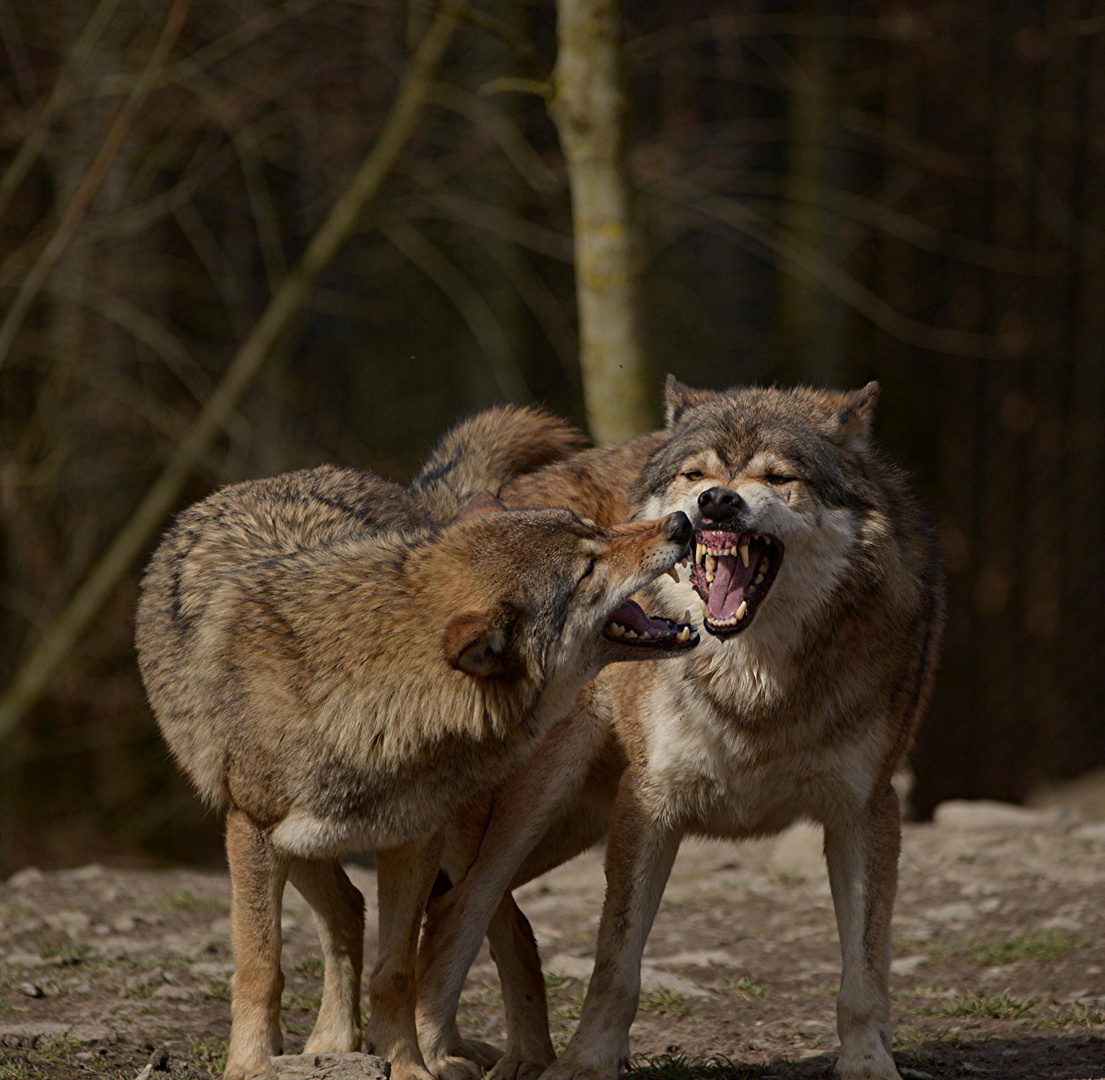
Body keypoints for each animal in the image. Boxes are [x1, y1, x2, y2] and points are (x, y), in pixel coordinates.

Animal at [133, 402, 693, 1078]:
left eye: (595, 530)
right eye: (589, 564)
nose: (683, 522)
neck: (366, 696)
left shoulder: (415, 838)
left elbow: (396, 972)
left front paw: (407, 1066)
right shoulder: (253, 830)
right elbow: (261, 967)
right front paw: (249, 1065)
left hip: (456, 839)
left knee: (495, 926)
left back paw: (518, 1057)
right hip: (283, 840)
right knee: (351, 914)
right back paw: (334, 1042)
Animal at [417, 378, 945, 1078]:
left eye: (777, 476)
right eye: (696, 474)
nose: (716, 500)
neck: (751, 681)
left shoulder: (865, 809)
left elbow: (864, 970)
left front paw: (867, 1063)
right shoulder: (648, 802)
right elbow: (615, 964)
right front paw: (587, 1062)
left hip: (566, 827)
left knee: (478, 917)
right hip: (531, 801)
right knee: (459, 910)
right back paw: (436, 1053)